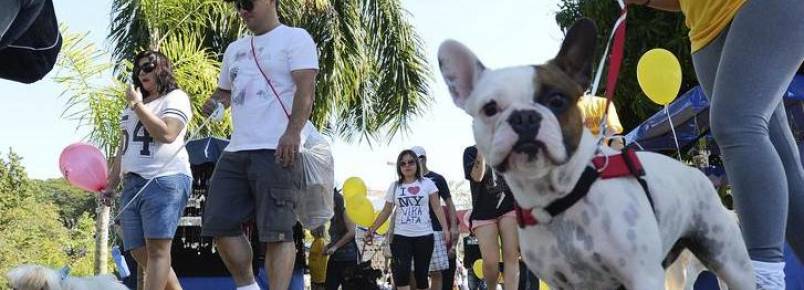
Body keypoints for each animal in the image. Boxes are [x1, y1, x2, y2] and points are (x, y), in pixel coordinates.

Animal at [436, 19, 756, 288]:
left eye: (557, 100)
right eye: (490, 108)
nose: (524, 117)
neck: (560, 197)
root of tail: (693, 170)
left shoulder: (641, 275)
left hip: (728, 259)